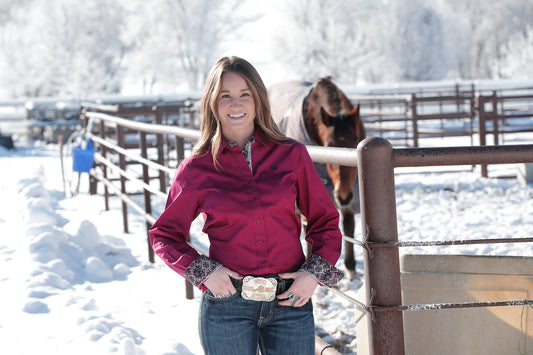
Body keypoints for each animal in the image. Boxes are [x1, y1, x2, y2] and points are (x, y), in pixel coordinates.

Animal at [268, 78, 364, 280]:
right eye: (328, 145)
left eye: (355, 141)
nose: (343, 196)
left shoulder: (350, 191)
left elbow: (348, 226)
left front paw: (351, 268)